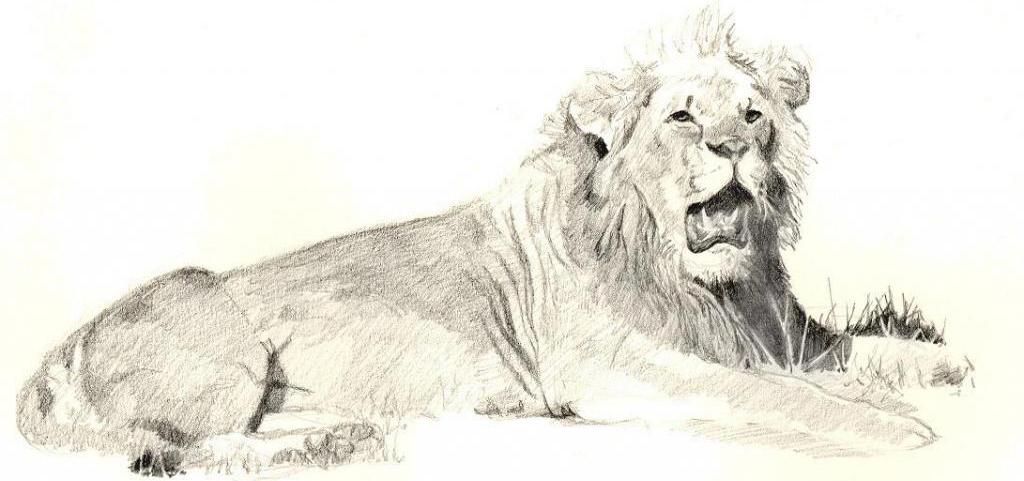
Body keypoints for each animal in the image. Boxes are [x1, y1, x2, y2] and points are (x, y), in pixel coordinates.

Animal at [16, 11, 946, 475]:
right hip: (222, 339)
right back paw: (327, 448)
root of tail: (58, 352)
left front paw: (938, 366)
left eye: (754, 114)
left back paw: (340, 435)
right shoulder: (619, 369)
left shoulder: (787, 336)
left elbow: (860, 349)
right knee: (178, 447)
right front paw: (901, 427)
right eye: (684, 116)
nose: (734, 147)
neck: (705, 283)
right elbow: (782, 396)